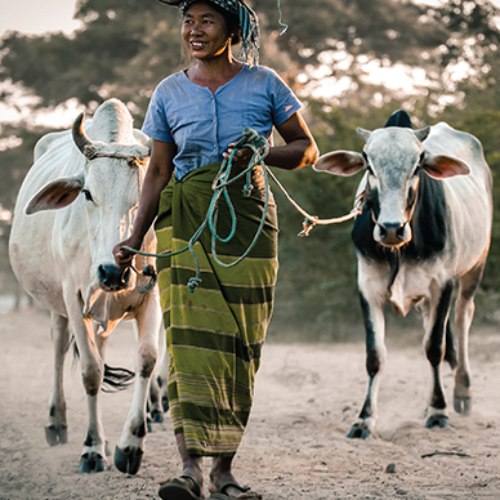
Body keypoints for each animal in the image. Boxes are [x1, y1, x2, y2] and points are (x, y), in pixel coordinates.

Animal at [9, 97, 162, 472]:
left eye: (141, 198)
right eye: (88, 194)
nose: (112, 273)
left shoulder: (152, 294)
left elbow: (147, 359)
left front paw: (130, 445)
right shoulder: (73, 297)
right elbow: (91, 372)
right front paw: (92, 448)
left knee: (101, 347)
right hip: (58, 306)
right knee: (59, 348)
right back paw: (56, 422)